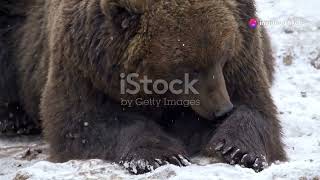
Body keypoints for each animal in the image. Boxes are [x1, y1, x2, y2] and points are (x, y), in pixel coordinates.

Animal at [0, 0, 284, 174]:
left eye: (223, 55)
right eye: (187, 68)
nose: (221, 109)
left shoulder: (243, 53)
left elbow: (256, 106)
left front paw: (239, 150)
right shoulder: (83, 64)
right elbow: (84, 119)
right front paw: (162, 155)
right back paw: (14, 119)